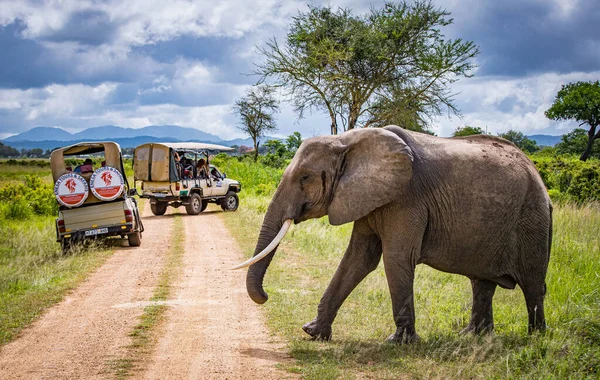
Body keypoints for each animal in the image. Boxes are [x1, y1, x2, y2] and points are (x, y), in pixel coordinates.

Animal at [232, 126, 552, 342]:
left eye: (305, 177)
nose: (266, 295)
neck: (347, 141)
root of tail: (537, 175)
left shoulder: (406, 198)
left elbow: (396, 258)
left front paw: (399, 343)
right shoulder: (369, 196)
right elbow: (357, 259)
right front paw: (313, 333)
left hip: (532, 220)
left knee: (533, 285)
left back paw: (535, 340)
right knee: (482, 283)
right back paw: (473, 337)